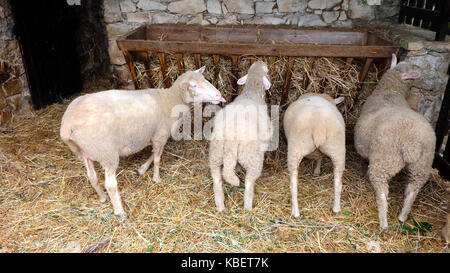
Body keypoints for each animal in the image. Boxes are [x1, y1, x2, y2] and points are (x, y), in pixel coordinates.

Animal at [60, 67, 225, 218]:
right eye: (194, 85)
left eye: (205, 79)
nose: (219, 95)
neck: (171, 100)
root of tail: (67, 124)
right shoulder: (160, 135)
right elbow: (157, 158)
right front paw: (156, 178)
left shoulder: (154, 136)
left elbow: (153, 154)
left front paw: (142, 168)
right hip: (107, 153)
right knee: (111, 184)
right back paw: (119, 212)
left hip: (84, 152)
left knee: (92, 177)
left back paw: (102, 198)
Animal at [210, 60, 272, 211]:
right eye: (266, 70)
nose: (260, 61)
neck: (251, 91)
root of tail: (232, 138)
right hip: (252, 158)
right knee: (249, 183)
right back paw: (248, 207)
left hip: (215, 154)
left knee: (217, 180)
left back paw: (220, 206)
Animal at [356, 54, 436, 231]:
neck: (390, 92)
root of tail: (412, 144)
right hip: (422, 165)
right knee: (412, 190)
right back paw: (402, 216)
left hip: (385, 160)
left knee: (382, 192)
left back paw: (383, 223)